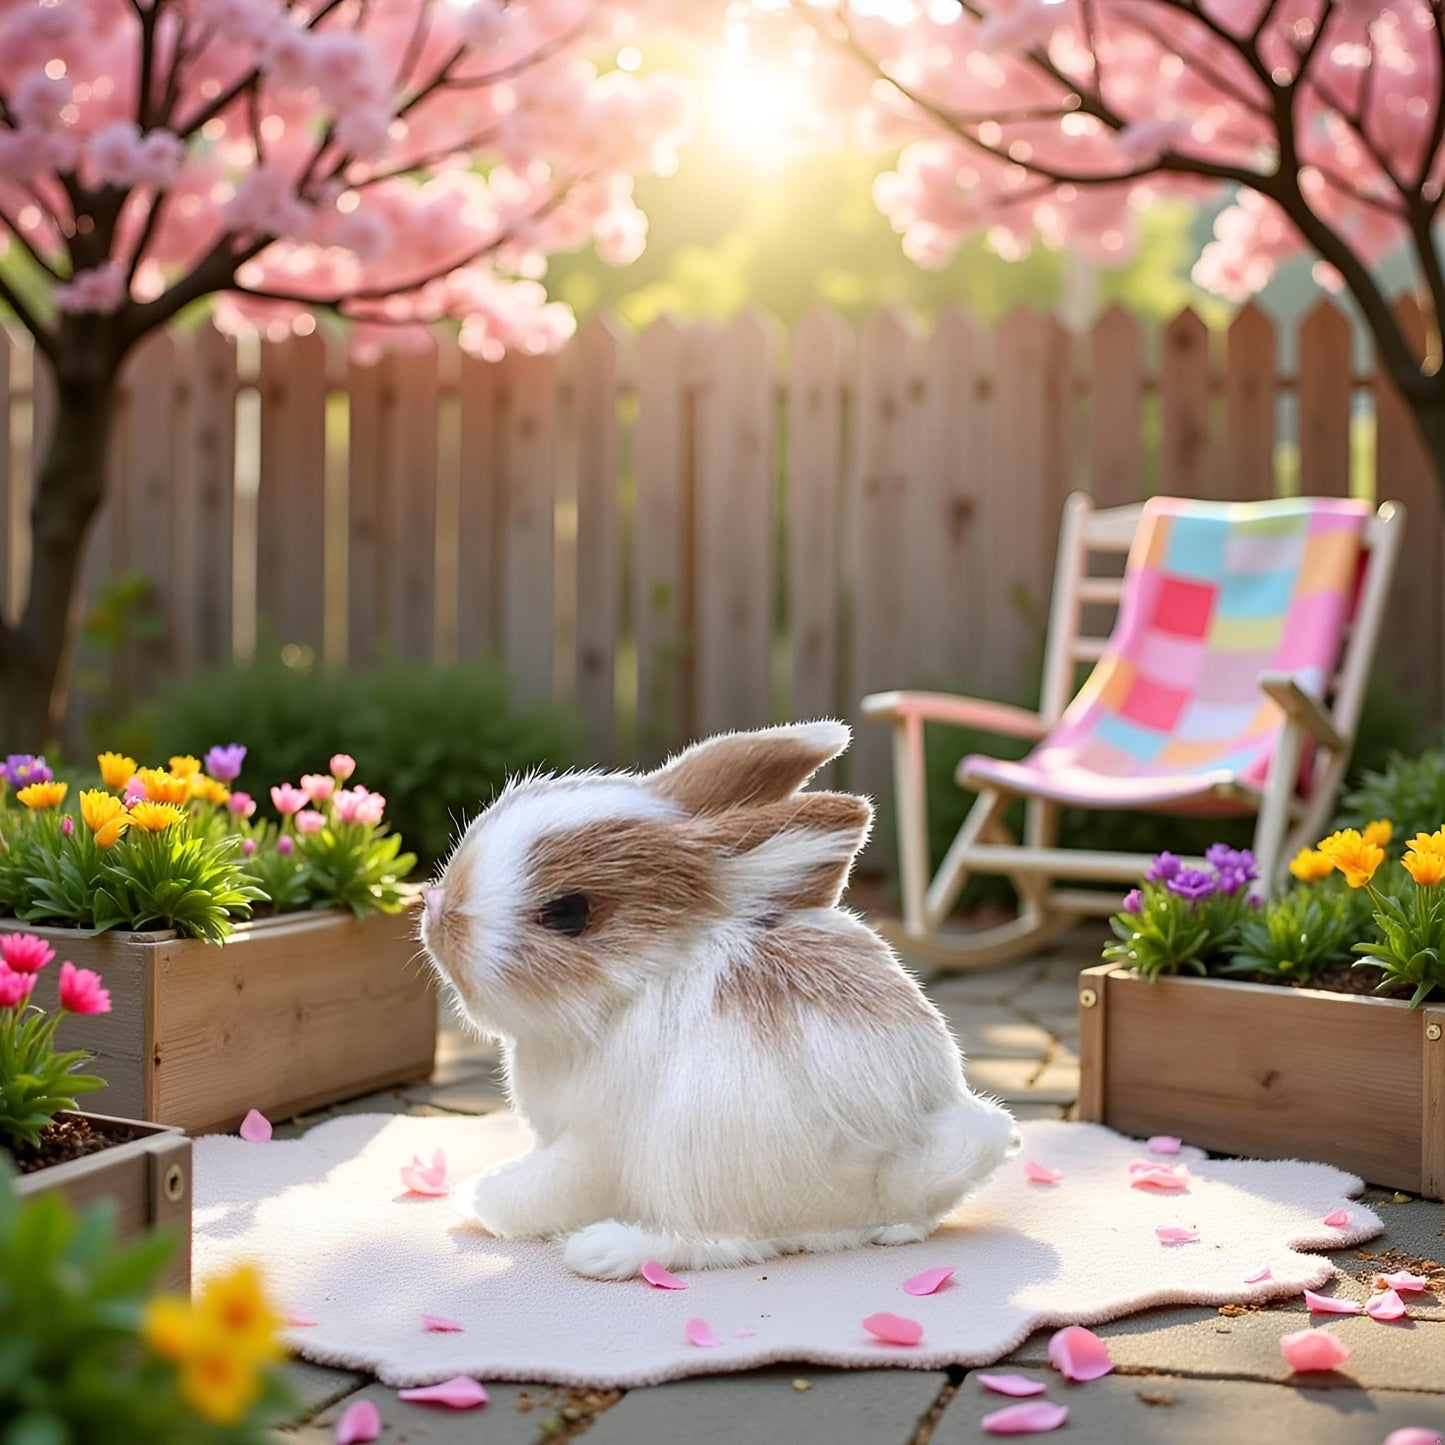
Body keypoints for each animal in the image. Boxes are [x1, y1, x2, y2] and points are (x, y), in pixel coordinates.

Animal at [420, 719, 1019, 1280]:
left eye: (568, 913)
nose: (438, 908)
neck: (632, 990)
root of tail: (899, 1167)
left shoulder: (589, 1147)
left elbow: (548, 1186)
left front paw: (478, 1202)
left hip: (697, 1158)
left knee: (729, 1243)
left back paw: (608, 1250)